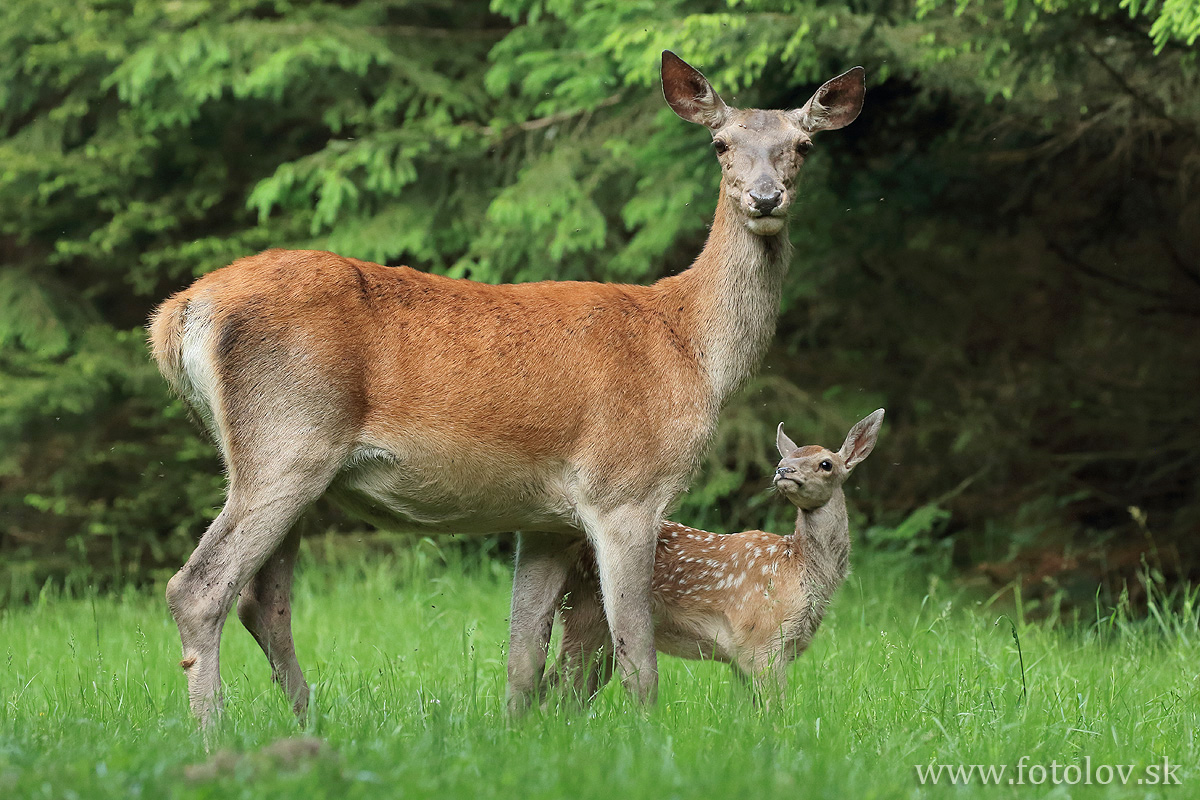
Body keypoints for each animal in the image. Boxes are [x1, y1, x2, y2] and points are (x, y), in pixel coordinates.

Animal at [150, 48, 864, 724]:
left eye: (802, 144)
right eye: (720, 143)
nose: (765, 198)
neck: (691, 348)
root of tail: (182, 311)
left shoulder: (546, 518)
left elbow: (523, 657)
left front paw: (519, 736)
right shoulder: (625, 489)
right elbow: (636, 653)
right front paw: (649, 736)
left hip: (281, 460)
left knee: (263, 600)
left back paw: (309, 722)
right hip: (287, 439)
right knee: (199, 589)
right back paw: (215, 730)